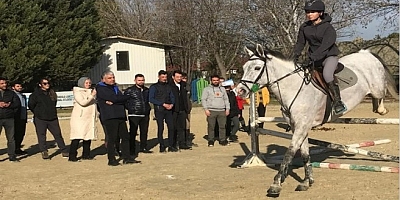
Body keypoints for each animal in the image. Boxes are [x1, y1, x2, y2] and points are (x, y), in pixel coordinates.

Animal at [236, 43, 398, 195]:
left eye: (257, 68)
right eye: (244, 67)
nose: (240, 91)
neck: (293, 87)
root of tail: (366, 53)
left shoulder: (301, 127)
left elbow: (289, 153)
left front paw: (276, 184)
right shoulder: (299, 127)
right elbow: (304, 154)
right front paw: (307, 181)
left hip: (377, 87)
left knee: (381, 95)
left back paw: (382, 109)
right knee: (376, 102)